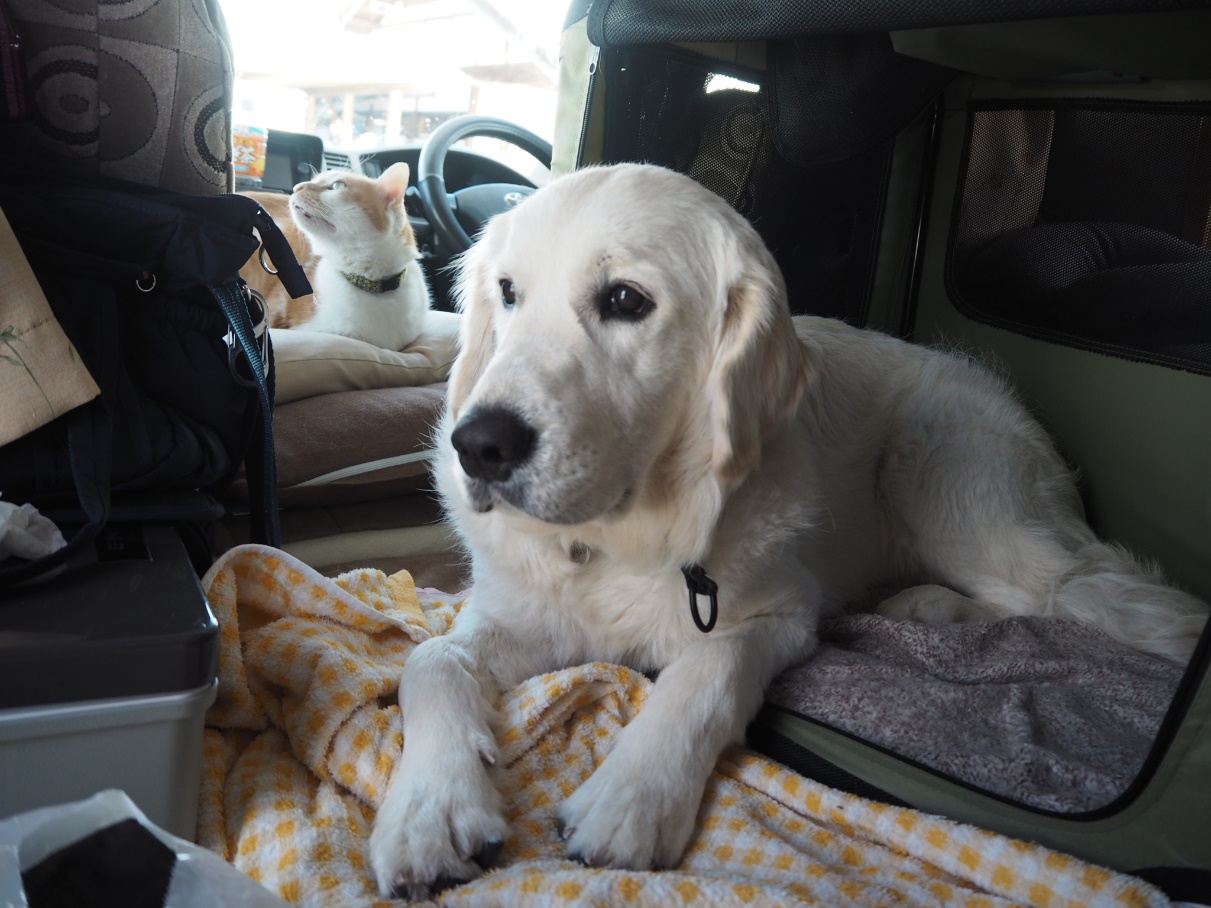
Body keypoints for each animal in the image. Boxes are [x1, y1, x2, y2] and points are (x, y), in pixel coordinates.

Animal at [368, 162, 1201, 895]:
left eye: (626, 299)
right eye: (508, 292)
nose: (479, 445)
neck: (621, 537)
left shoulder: (779, 614)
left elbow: (707, 670)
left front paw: (633, 796)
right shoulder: (514, 615)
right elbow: (429, 662)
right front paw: (427, 812)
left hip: (949, 480)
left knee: (1057, 594)